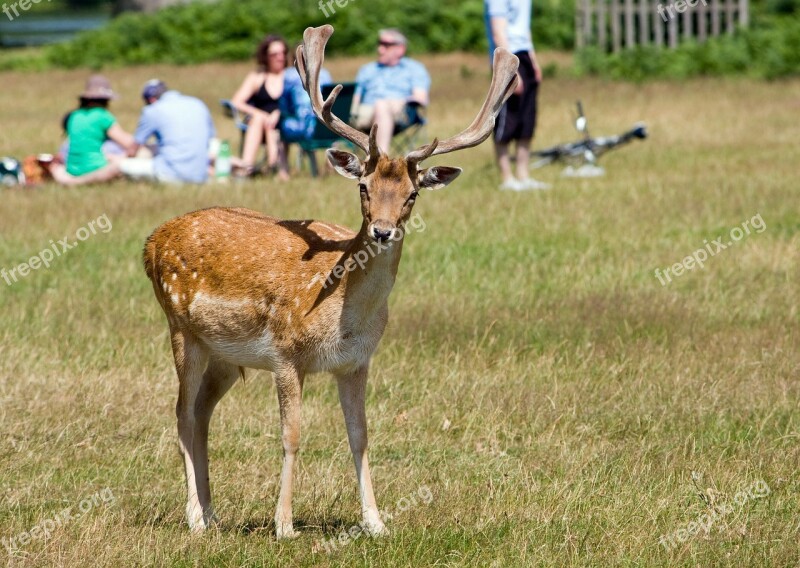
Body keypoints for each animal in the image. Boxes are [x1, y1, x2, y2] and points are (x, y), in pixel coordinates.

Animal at [143, 24, 520, 540]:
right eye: (363, 186)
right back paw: (196, 518)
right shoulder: (285, 354)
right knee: (181, 413)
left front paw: (376, 523)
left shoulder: (357, 362)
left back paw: (214, 512)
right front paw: (284, 525)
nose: (381, 231)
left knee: (201, 414)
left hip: (225, 357)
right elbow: (291, 436)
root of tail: (151, 242)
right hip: (181, 329)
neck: (342, 314)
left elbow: (360, 436)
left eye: (412, 193)